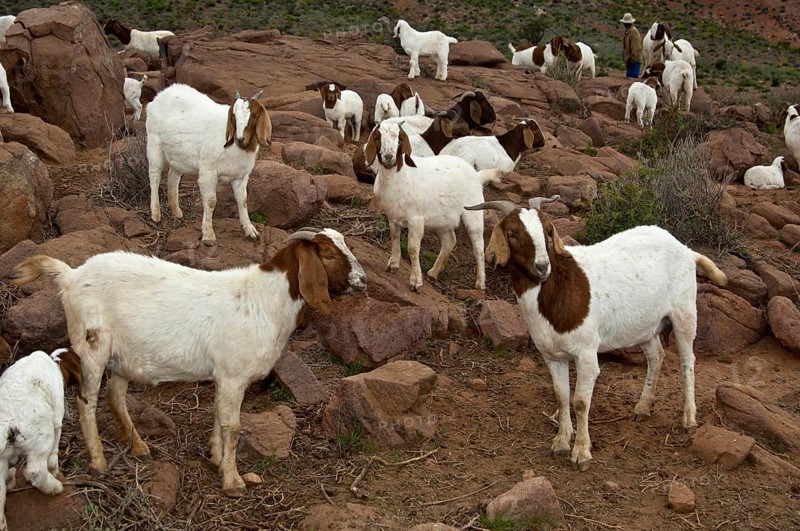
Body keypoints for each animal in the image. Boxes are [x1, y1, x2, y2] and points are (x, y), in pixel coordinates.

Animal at [0, 348, 83, 531]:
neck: (54, 361)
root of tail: (6, 423)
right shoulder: (57, 418)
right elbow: (54, 452)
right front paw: (54, 470)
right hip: (43, 434)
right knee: (35, 471)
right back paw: (54, 487)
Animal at [11, 228, 367, 498]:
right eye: (329, 255)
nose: (363, 281)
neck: (266, 300)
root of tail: (70, 276)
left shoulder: (224, 376)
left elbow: (219, 418)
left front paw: (216, 458)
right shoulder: (233, 374)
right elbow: (233, 426)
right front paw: (233, 481)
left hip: (123, 356)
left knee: (115, 397)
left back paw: (138, 446)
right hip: (92, 345)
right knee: (86, 401)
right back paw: (98, 461)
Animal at [146, 84, 271, 245]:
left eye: (254, 116)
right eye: (234, 116)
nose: (240, 139)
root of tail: (162, 94)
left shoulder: (241, 175)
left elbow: (242, 200)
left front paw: (250, 231)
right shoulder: (208, 171)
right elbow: (211, 201)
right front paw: (208, 235)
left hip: (179, 156)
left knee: (172, 175)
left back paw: (176, 210)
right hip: (154, 143)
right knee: (154, 176)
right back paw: (156, 214)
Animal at [364, 122, 503, 291]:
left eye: (399, 138)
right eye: (378, 137)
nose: (389, 157)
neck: (398, 177)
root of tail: (477, 174)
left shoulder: (416, 219)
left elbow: (412, 248)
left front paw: (416, 282)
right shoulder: (393, 217)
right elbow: (394, 238)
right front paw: (393, 265)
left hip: (473, 212)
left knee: (478, 247)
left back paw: (480, 283)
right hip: (443, 219)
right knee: (450, 240)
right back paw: (433, 272)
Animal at [465, 196, 728, 471]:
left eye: (548, 231)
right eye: (513, 234)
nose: (542, 266)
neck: (557, 289)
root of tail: (686, 250)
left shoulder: (587, 353)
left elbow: (580, 402)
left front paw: (581, 452)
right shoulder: (551, 355)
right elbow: (561, 396)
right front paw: (561, 442)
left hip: (684, 311)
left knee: (687, 361)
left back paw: (689, 418)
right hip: (645, 325)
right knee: (656, 356)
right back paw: (643, 407)